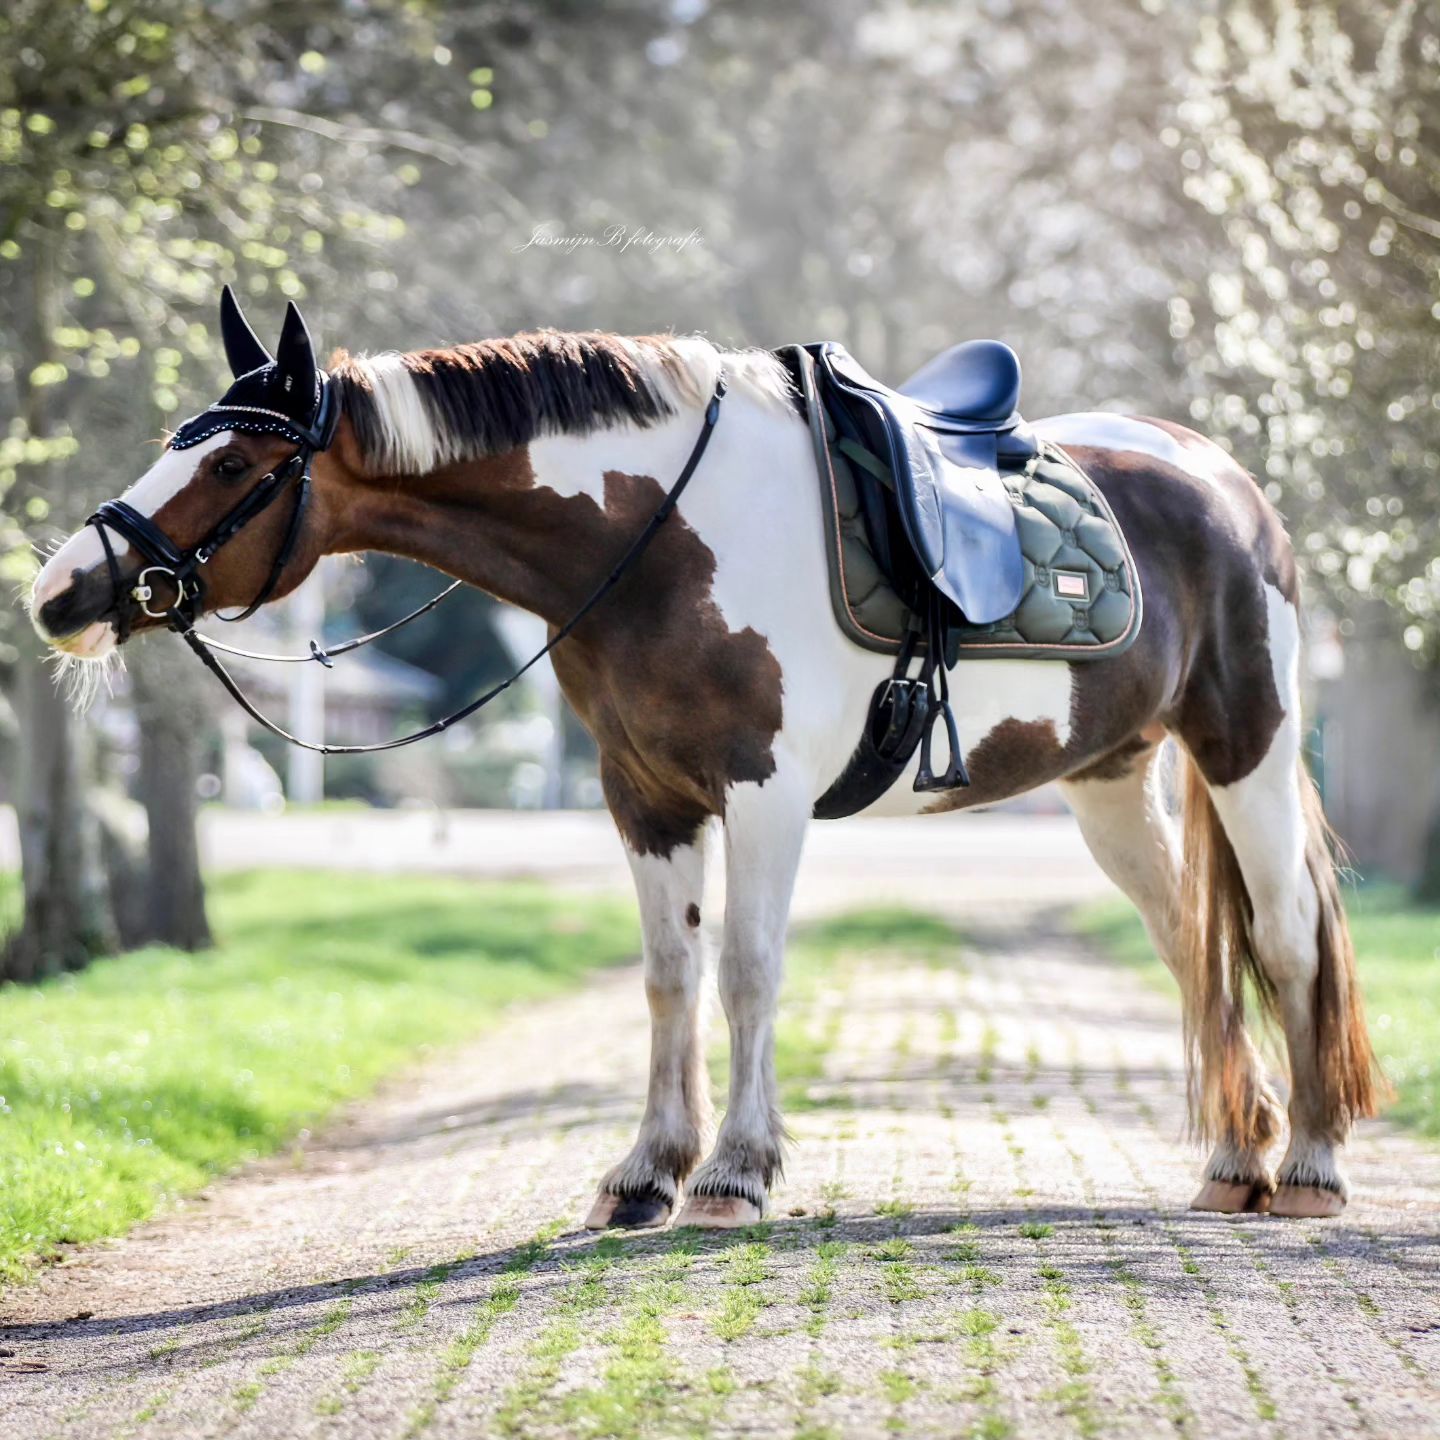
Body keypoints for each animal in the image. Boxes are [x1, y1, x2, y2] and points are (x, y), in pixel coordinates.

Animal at [29, 292, 1383, 1228]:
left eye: (233, 463)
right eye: (178, 442)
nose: (60, 594)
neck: (662, 534)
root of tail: (1224, 481)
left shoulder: (764, 797)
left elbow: (746, 973)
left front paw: (735, 1173)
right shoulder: (646, 800)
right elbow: (669, 979)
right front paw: (644, 1175)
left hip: (1248, 753)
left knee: (1283, 938)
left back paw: (1311, 1166)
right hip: (1111, 786)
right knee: (1193, 949)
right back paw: (1237, 1162)